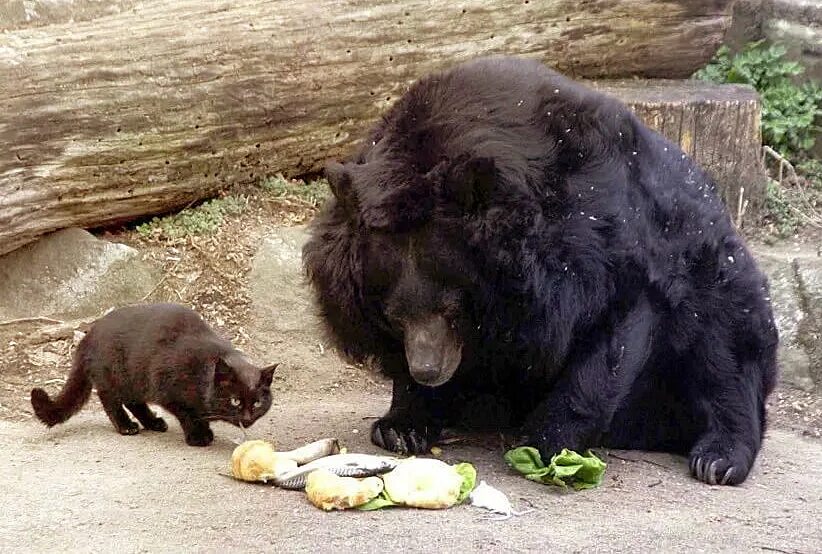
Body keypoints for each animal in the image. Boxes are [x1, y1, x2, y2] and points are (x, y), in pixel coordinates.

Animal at [306, 57, 784, 484]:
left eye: (452, 309)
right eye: (394, 316)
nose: (428, 370)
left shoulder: (601, 243)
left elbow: (609, 334)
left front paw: (547, 444)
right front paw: (400, 426)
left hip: (719, 278)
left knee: (725, 355)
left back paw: (717, 459)